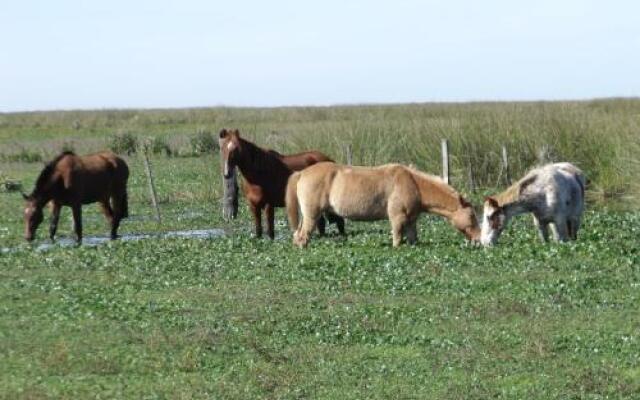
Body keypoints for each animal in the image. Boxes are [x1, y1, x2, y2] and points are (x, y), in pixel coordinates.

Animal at [286, 162, 480, 247]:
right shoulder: (397, 217)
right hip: (312, 215)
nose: (479, 239)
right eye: (472, 216)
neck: (413, 183)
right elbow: (397, 237)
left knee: (298, 234)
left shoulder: (411, 219)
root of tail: (302, 173)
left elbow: (412, 238)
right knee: (303, 235)